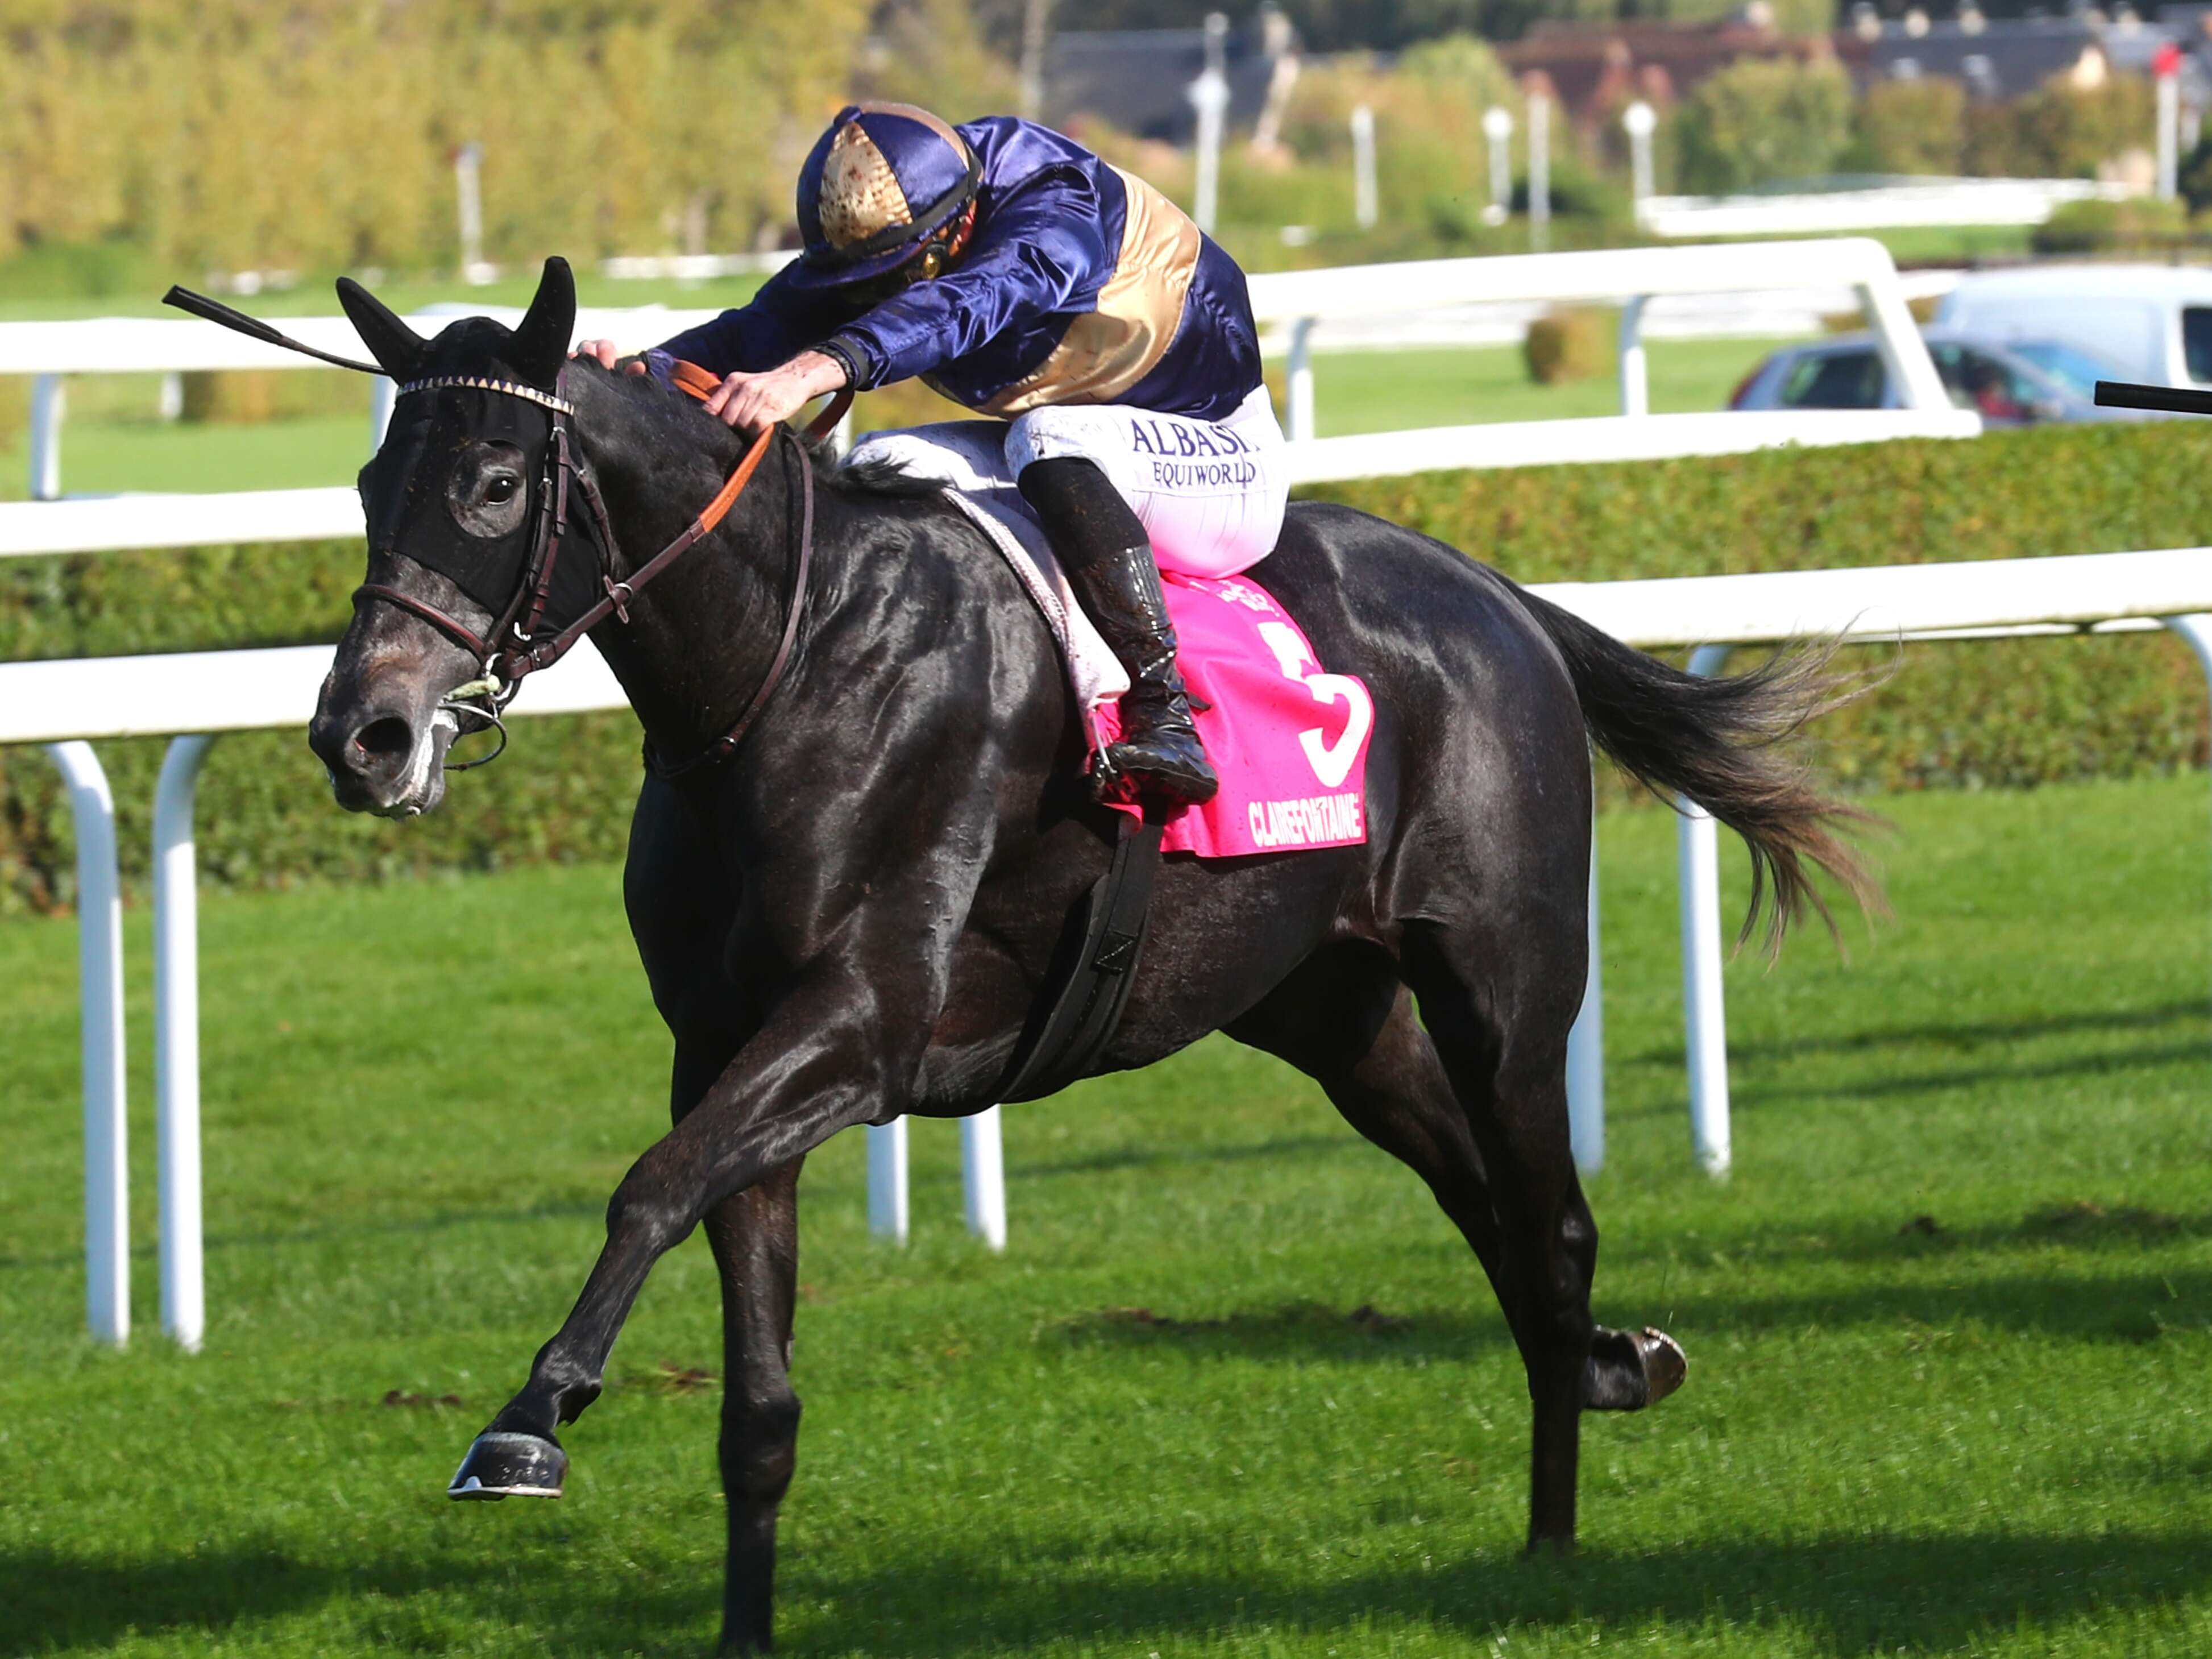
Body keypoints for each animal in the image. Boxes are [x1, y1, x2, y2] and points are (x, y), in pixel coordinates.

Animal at [307, 260, 1867, 1654]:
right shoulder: (728, 1041)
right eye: (373, 486)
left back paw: (1556, 1526)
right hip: (1333, 1012)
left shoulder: (861, 1026)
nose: (361, 735)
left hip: (1503, 980)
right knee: (1484, 1206)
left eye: (492, 484)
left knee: (1549, 1226)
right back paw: (1595, 1394)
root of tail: (1495, 593)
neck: (788, 664)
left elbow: (645, 1185)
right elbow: (752, 1388)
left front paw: (527, 1420)